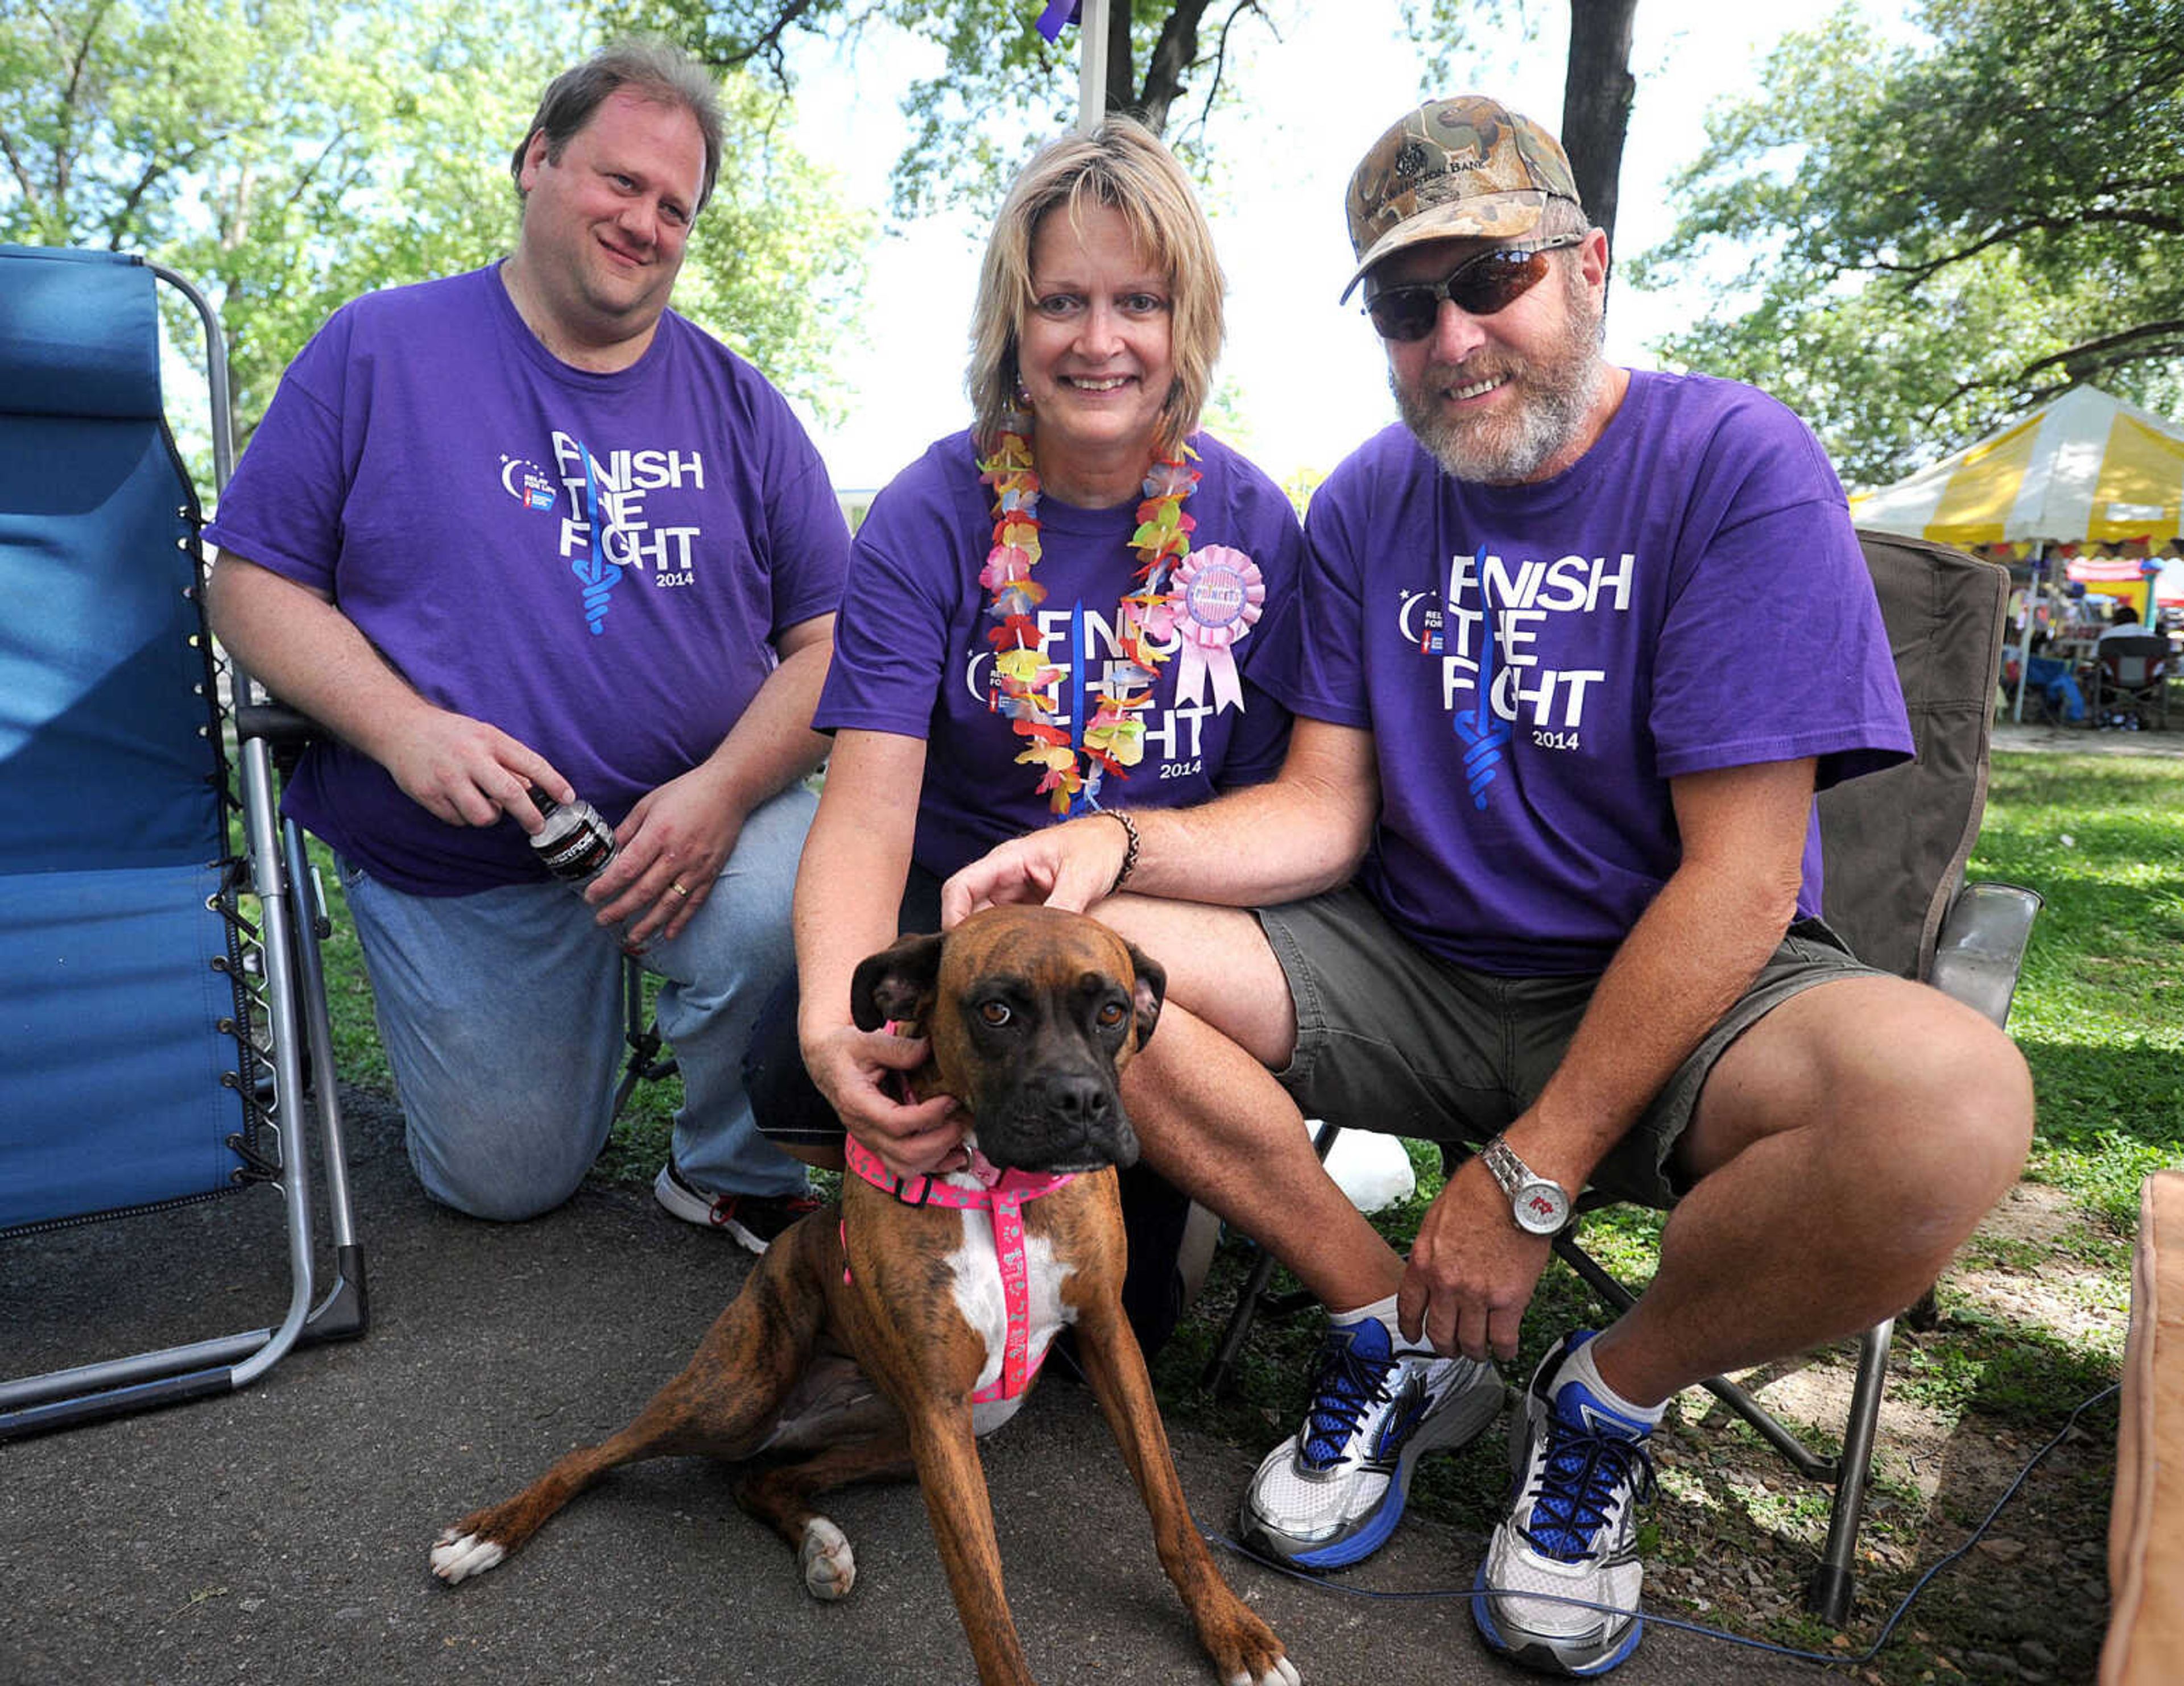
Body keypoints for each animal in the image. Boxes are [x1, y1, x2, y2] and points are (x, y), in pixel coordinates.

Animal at [435, 908, 1301, 1686]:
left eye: (1113, 1011)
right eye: (997, 1010)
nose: (1083, 1100)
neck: (997, 1191)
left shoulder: (1104, 1340)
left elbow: (1170, 1509)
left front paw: (1233, 1633)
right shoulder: (941, 1412)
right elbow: (987, 1604)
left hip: (910, 1436)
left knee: (763, 1479)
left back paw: (821, 1543)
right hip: (741, 1394)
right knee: (595, 1455)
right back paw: (487, 1534)